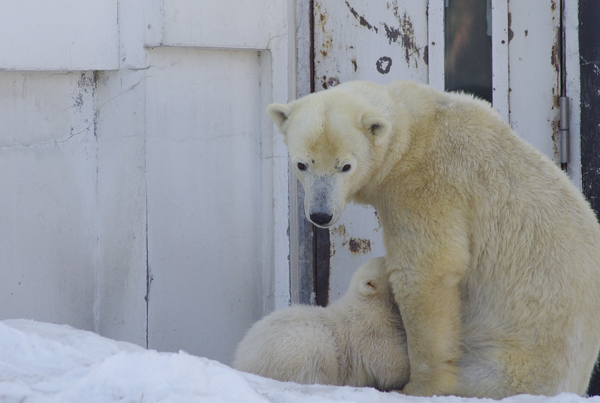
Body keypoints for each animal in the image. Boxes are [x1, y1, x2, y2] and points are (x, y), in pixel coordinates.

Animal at [268, 80, 600, 400]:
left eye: (345, 166)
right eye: (302, 164)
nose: (321, 214)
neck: (415, 127)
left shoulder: (429, 183)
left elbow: (426, 272)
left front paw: (419, 386)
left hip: (510, 361)